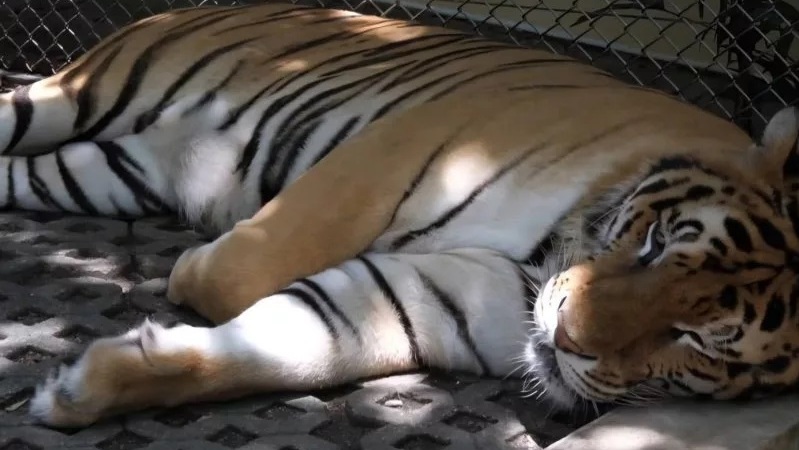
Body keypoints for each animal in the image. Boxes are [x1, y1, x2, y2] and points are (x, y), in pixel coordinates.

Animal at [0, 1, 797, 429]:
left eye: (696, 341)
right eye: (655, 242)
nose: (568, 340)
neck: (539, 263)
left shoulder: (434, 298)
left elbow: (291, 346)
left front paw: (77, 391)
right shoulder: (417, 141)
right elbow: (240, 274)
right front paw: (189, 269)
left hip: (97, 173)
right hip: (71, 98)